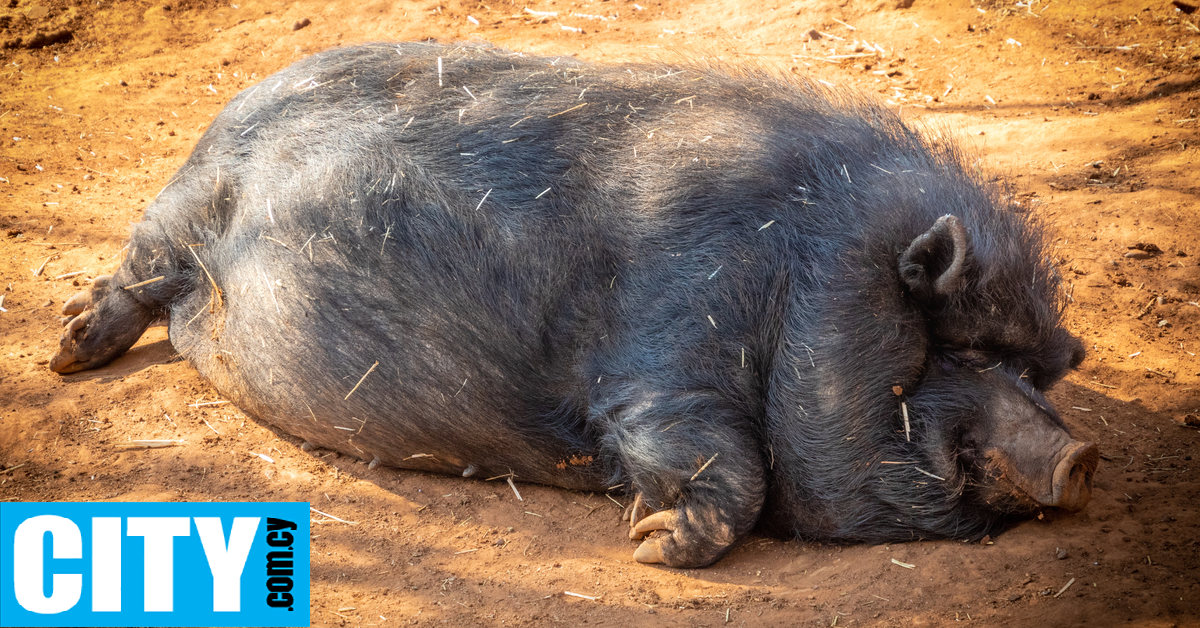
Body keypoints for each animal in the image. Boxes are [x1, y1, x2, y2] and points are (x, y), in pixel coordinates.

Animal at [49, 41, 1099, 566]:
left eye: (1038, 369)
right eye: (966, 348)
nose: (1082, 456)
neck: (801, 280)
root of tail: (229, 109)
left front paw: (645, 536)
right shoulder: (664, 358)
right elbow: (726, 465)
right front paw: (647, 545)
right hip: (179, 207)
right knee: (136, 273)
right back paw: (64, 354)